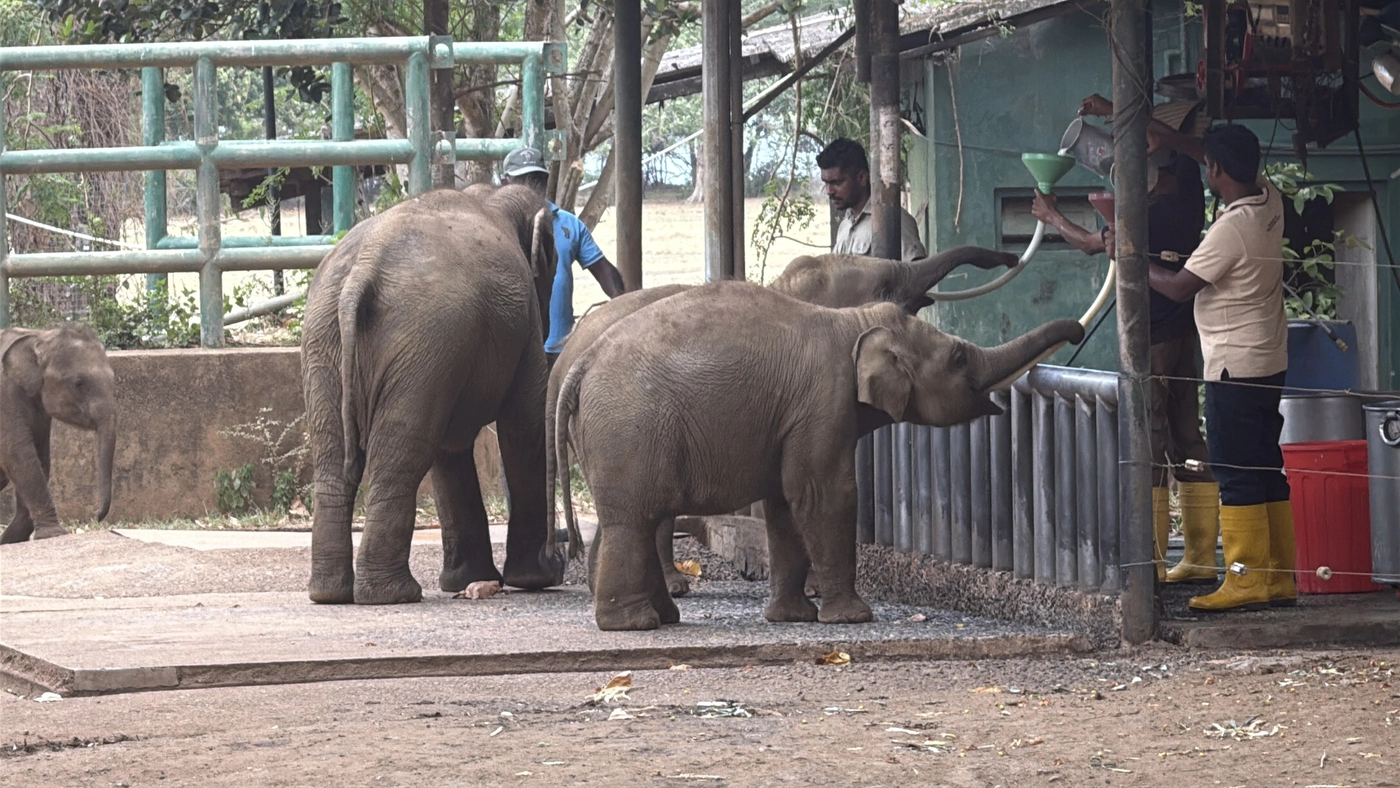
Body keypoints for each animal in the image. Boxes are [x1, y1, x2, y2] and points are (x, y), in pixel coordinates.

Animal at [0, 324, 117, 544]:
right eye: (79, 383)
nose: (96, 516)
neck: (39, 336)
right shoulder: (4, 398)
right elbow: (18, 453)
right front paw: (54, 534)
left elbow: (40, 458)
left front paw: (12, 540)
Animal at [301, 184, 559, 605]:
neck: (493, 197)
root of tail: (362, 270)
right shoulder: (523, 330)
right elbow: (523, 427)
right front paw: (538, 578)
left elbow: (451, 445)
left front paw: (469, 581)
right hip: (423, 335)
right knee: (402, 452)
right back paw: (393, 594)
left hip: (330, 340)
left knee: (337, 456)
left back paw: (331, 594)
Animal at [552, 281, 1085, 631]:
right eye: (957, 359)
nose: (1078, 333)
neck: (854, 320)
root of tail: (581, 365)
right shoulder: (823, 402)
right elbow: (823, 495)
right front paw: (853, 619)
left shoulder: (791, 421)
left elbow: (785, 505)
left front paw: (791, 618)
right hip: (630, 430)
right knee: (634, 519)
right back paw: (634, 625)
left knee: (632, 518)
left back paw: (662, 618)